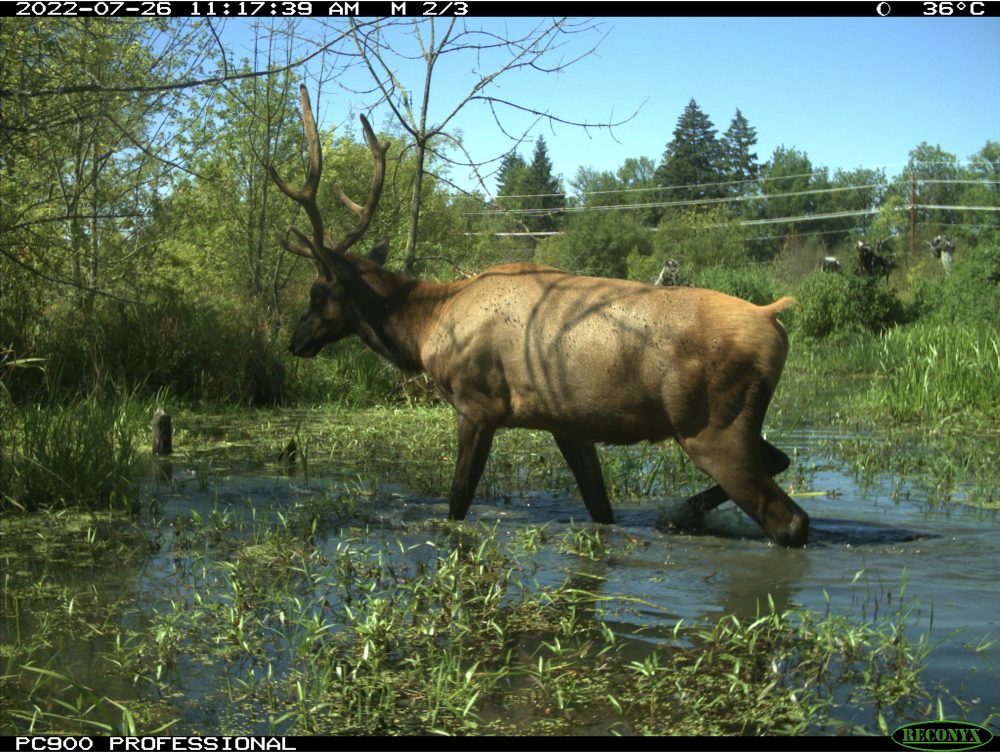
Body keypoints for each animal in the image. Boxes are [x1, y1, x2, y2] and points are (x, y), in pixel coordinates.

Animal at [271, 86, 809, 548]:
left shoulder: (478, 405)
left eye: (318, 290)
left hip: (712, 429)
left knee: (790, 519)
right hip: (733, 426)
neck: (425, 330)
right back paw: (681, 512)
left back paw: (688, 514)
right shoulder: (568, 425)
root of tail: (774, 320)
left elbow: (457, 503)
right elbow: (600, 510)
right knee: (780, 460)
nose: (295, 341)